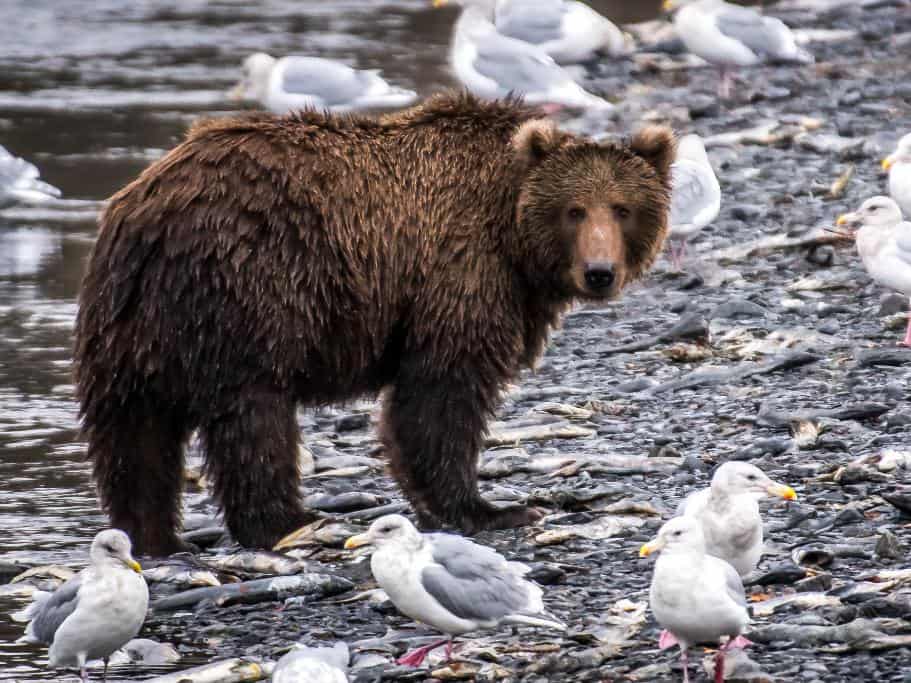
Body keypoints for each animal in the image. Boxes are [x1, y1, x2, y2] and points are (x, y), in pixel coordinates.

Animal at [74, 92, 675, 556]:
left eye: (622, 208)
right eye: (575, 210)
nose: (599, 273)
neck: (512, 239)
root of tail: (149, 210)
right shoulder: (460, 269)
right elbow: (442, 390)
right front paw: (491, 507)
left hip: (129, 325)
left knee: (132, 434)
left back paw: (154, 537)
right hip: (247, 287)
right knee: (252, 415)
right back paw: (290, 521)